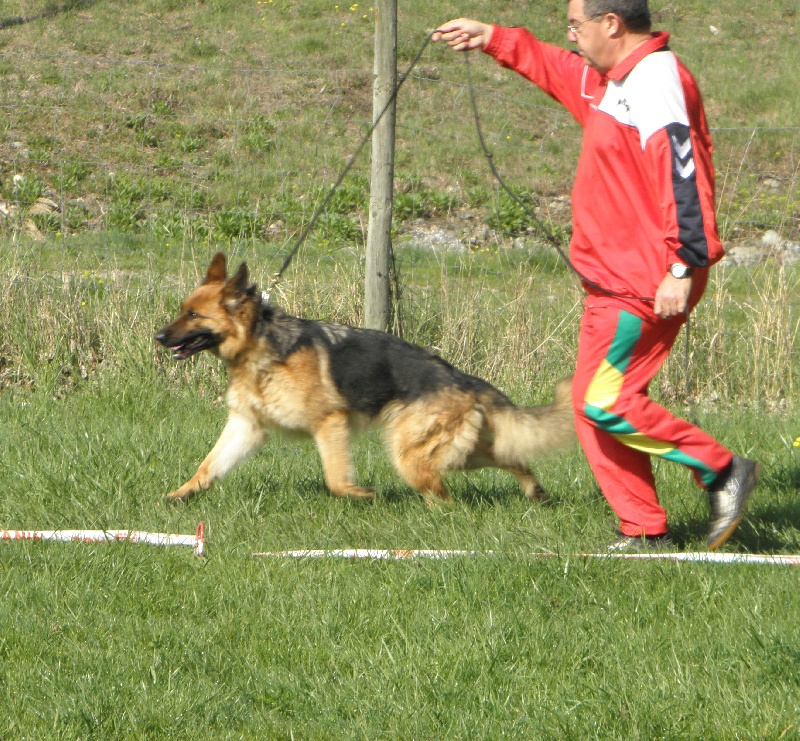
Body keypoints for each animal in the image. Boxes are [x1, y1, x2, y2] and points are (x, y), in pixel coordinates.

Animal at [155, 252, 574, 504]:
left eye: (193, 315)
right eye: (182, 310)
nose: (158, 336)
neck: (261, 348)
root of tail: (461, 378)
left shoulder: (330, 424)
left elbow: (336, 479)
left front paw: (362, 494)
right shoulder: (247, 427)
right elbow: (208, 466)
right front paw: (180, 494)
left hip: (413, 456)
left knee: (447, 497)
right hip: (457, 453)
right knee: (510, 457)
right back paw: (534, 491)